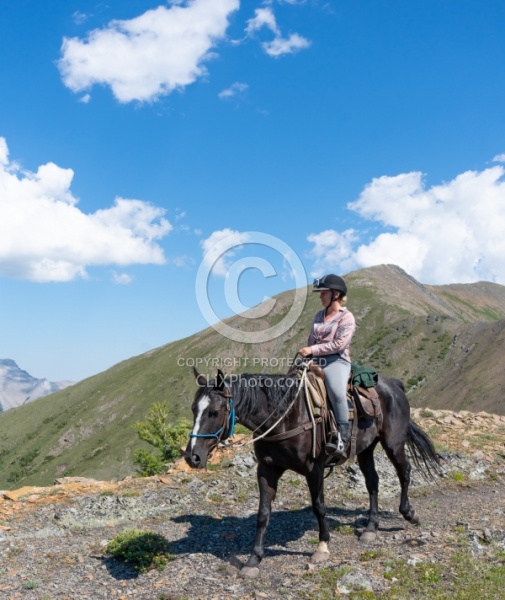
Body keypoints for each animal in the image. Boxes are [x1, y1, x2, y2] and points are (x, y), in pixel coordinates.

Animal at [183, 364, 440, 580]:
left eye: (215, 411)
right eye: (193, 409)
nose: (192, 457)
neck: (284, 417)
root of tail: (393, 385)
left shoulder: (313, 469)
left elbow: (319, 507)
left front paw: (322, 547)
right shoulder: (267, 469)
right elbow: (263, 513)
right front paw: (253, 559)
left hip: (393, 443)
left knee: (404, 472)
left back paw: (409, 514)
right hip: (366, 449)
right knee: (373, 483)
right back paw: (370, 528)